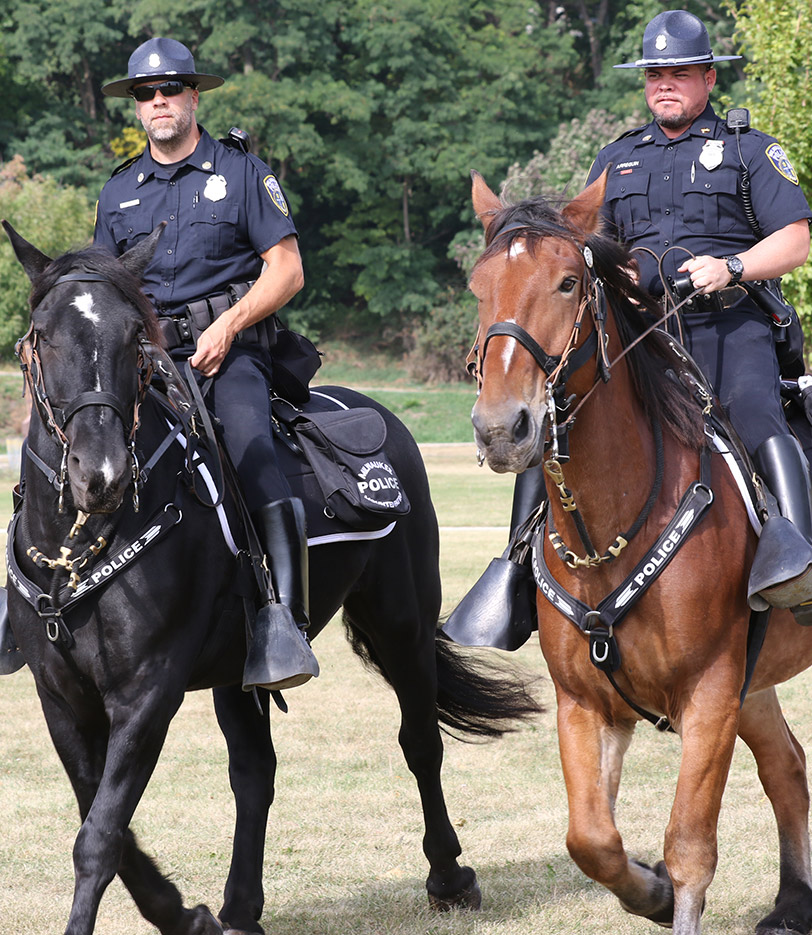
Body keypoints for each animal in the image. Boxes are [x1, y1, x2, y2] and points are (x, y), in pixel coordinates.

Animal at [4, 225, 540, 935]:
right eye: (44, 334)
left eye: (133, 335)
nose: (102, 474)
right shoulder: (62, 699)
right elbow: (107, 820)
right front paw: (184, 914)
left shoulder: (147, 693)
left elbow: (100, 834)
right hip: (240, 667)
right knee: (255, 773)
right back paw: (240, 908)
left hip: (401, 624)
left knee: (420, 741)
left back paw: (449, 878)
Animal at [470, 170, 812, 935]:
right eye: (478, 286)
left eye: (568, 281)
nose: (502, 428)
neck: (610, 532)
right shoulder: (586, 705)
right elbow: (591, 839)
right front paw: (646, 891)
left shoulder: (710, 694)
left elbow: (689, 847)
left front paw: (666, 886)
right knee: (787, 769)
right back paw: (792, 902)